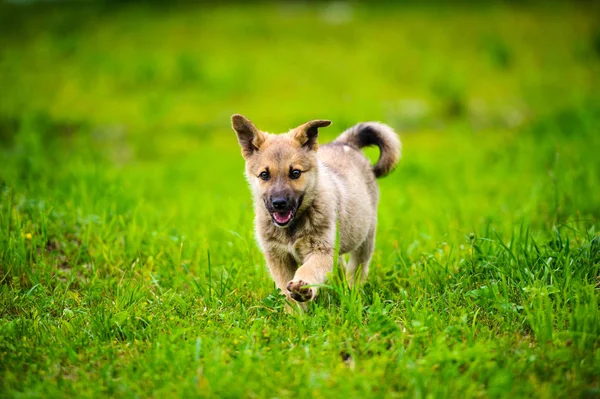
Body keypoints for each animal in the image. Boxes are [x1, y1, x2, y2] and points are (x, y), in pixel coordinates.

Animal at [232, 114, 400, 308]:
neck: (292, 228)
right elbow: (286, 292)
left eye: (295, 173)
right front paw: (296, 312)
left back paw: (351, 292)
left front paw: (303, 287)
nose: (279, 203)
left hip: (365, 237)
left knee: (357, 267)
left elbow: (309, 269)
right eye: (264, 175)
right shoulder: (278, 256)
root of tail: (345, 143)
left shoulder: (321, 250)